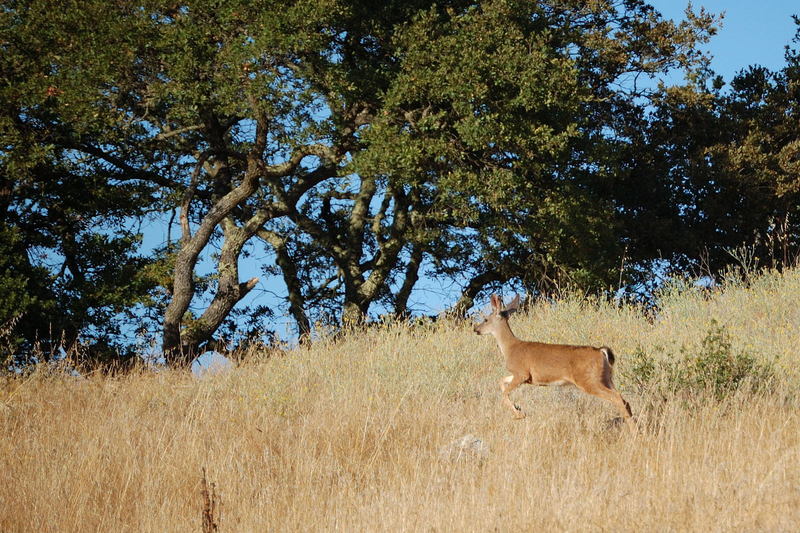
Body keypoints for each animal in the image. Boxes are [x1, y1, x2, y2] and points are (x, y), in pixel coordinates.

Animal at [476, 294, 632, 422]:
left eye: (485, 319)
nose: (476, 329)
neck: (510, 348)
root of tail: (601, 351)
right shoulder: (523, 376)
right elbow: (501, 381)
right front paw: (518, 408)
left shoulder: (522, 372)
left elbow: (503, 393)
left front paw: (520, 414)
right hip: (606, 378)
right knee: (624, 400)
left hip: (589, 380)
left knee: (618, 399)